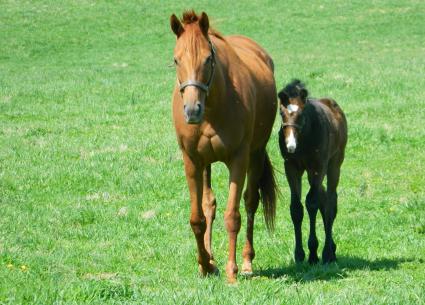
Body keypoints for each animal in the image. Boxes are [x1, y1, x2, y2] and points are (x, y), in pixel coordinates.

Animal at [171, 10, 276, 282]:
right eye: (176, 60)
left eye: (208, 59)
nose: (192, 110)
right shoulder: (192, 161)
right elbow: (197, 218)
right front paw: (205, 264)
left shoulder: (239, 159)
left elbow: (233, 216)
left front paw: (232, 271)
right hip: (206, 163)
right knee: (209, 205)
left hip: (256, 155)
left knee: (250, 202)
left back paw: (247, 261)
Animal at [278, 79, 344, 262]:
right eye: (281, 113)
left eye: (301, 114)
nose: (290, 145)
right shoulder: (291, 167)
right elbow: (296, 208)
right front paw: (299, 254)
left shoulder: (318, 167)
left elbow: (312, 203)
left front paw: (314, 253)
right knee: (324, 197)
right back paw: (332, 248)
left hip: (334, 165)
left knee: (330, 201)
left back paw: (328, 253)